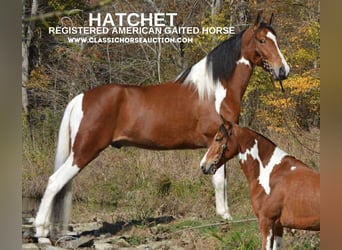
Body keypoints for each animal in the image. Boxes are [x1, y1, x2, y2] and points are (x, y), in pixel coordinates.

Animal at [33, 12, 290, 238]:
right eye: (262, 40)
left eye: (276, 39)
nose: (283, 70)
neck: (215, 90)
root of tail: (82, 98)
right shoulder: (215, 139)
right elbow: (218, 179)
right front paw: (224, 216)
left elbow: (222, 177)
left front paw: (224, 213)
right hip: (84, 150)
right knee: (55, 182)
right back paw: (41, 230)